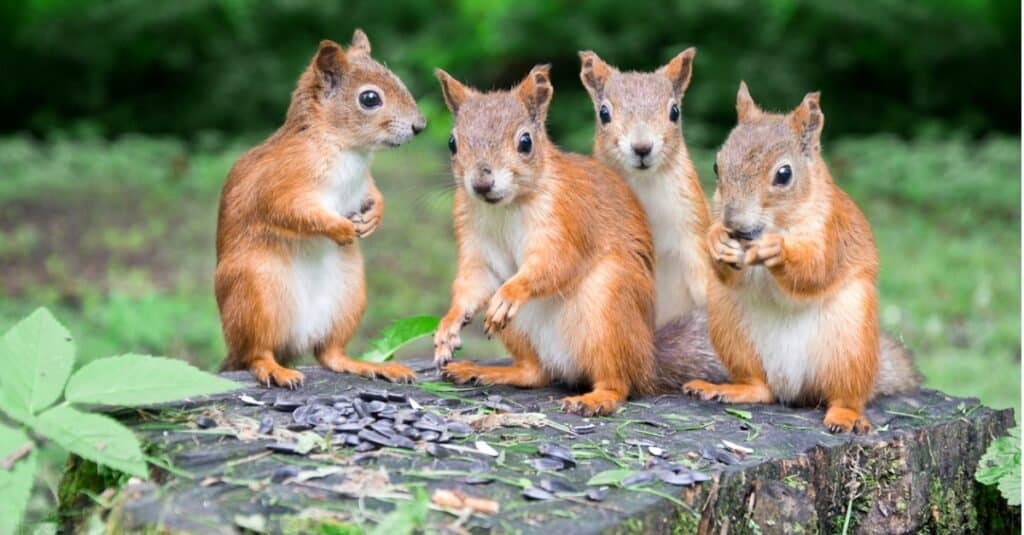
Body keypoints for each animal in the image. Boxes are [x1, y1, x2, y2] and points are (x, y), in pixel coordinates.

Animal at [216, 31, 423, 385]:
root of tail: (297, 338)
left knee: (330, 353)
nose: (420, 125)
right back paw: (274, 369)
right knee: (255, 352)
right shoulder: (277, 184)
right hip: (256, 292)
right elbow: (290, 211)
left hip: (348, 297)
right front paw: (340, 228)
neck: (347, 149)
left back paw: (368, 366)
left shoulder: (363, 183)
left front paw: (374, 217)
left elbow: (375, 193)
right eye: (370, 98)